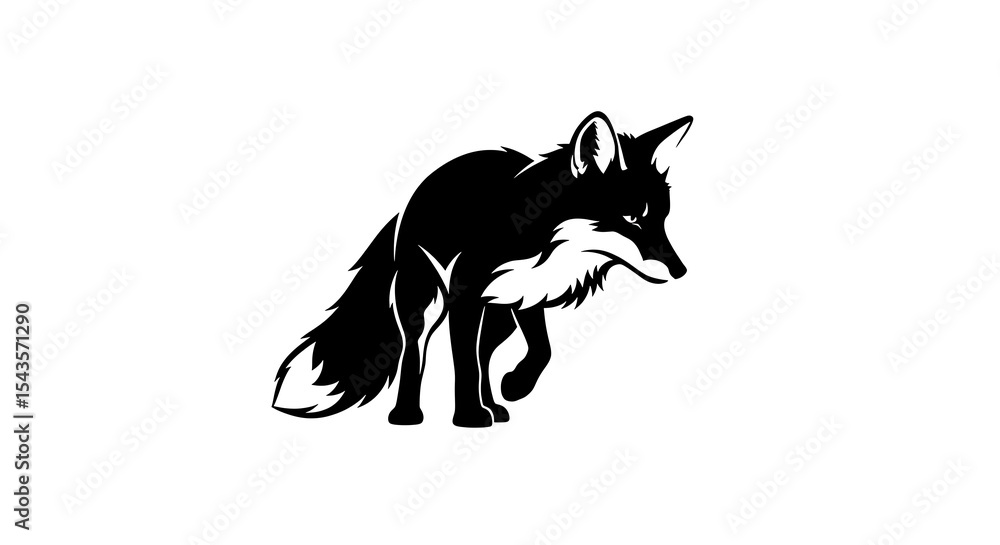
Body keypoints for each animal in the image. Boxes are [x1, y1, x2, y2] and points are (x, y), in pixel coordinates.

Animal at [272, 111, 692, 427]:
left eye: (663, 218)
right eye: (632, 217)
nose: (681, 272)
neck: (535, 235)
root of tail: (406, 207)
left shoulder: (528, 296)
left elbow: (540, 351)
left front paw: (515, 386)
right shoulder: (465, 298)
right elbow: (465, 364)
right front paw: (470, 417)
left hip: (501, 317)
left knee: (485, 353)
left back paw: (495, 406)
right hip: (424, 305)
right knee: (415, 351)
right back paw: (407, 414)